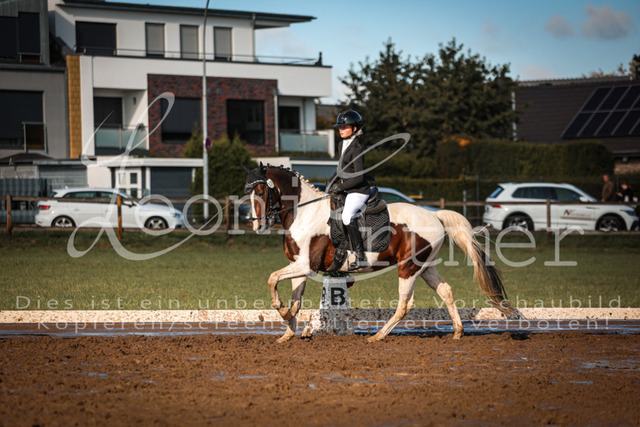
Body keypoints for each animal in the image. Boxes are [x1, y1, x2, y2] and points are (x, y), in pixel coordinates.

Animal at [243, 164, 516, 343]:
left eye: (261, 192)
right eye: (249, 193)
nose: (256, 226)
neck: (303, 212)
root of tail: (435, 215)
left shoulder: (305, 266)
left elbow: (271, 278)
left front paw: (281, 311)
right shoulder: (298, 267)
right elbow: (295, 300)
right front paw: (288, 330)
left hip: (408, 267)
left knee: (405, 304)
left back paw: (379, 336)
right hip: (425, 267)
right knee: (446, 291)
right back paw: (458, 332)